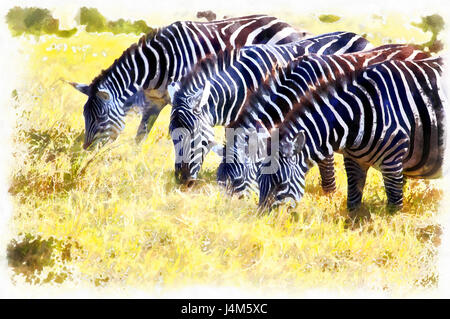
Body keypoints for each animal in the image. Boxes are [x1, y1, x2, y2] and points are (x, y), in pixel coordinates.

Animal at [69, 15, 310, 150]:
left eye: (99, 117)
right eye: (84, 116)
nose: (85, 151)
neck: (158, 63)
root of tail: (291, 26)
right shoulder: (154, 100)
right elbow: (142, 133)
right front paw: (134, 158)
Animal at [219, 44, 432, 198]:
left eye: (236, 182)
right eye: (219, 182)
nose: (230, 215)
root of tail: (419, 49)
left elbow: (326, 167)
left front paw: (329, 197)